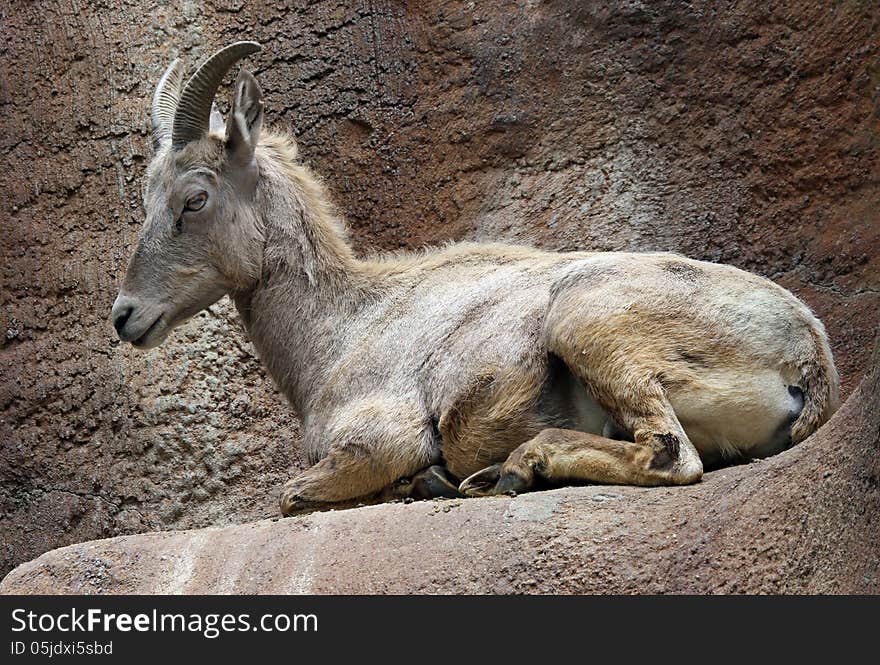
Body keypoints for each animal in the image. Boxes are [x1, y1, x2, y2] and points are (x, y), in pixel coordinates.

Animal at [110, 44, 840, 516]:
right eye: (146, 196)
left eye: (194, 199)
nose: (125, 314)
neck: (341, 329)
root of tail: (808, 356)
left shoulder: (379, 437)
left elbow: (294, 495)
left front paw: (425, 479)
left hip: (588, 322)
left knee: (671, 456)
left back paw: (513, 468)